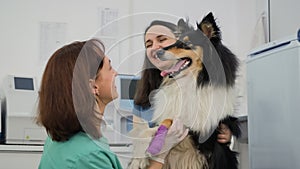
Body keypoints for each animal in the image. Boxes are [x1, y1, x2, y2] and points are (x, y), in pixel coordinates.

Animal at [127, 12, 240, 169]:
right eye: (175, 42)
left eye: (187, 44)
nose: (158, 52)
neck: (192, 82)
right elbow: (149, 129)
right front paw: (138, 158)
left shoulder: (202, 130)